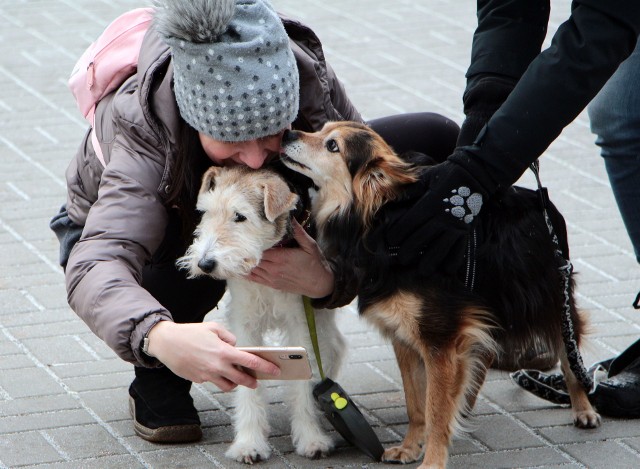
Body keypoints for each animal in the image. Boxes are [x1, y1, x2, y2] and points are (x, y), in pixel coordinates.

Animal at [178, 165, 348, 460]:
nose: (205, 264)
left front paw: (311, 439)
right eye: (206, 212)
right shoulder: (245, 321)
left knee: (332, 347)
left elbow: (303, 383)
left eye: (240, 216)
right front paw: (249, 444)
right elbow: (249, 385)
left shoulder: (300, 321)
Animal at [280, 121, 600, 468]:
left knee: (569, 357)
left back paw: (583, 408)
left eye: (332, 146)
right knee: (485, 352)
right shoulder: (404, 337)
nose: (287, 133)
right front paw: (409, 448)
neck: (379, 229)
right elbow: (415, 404)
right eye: (321, 129)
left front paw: (432, 459)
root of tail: (541, 200)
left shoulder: (440, 341)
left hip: (552, 297)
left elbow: (436, 410)